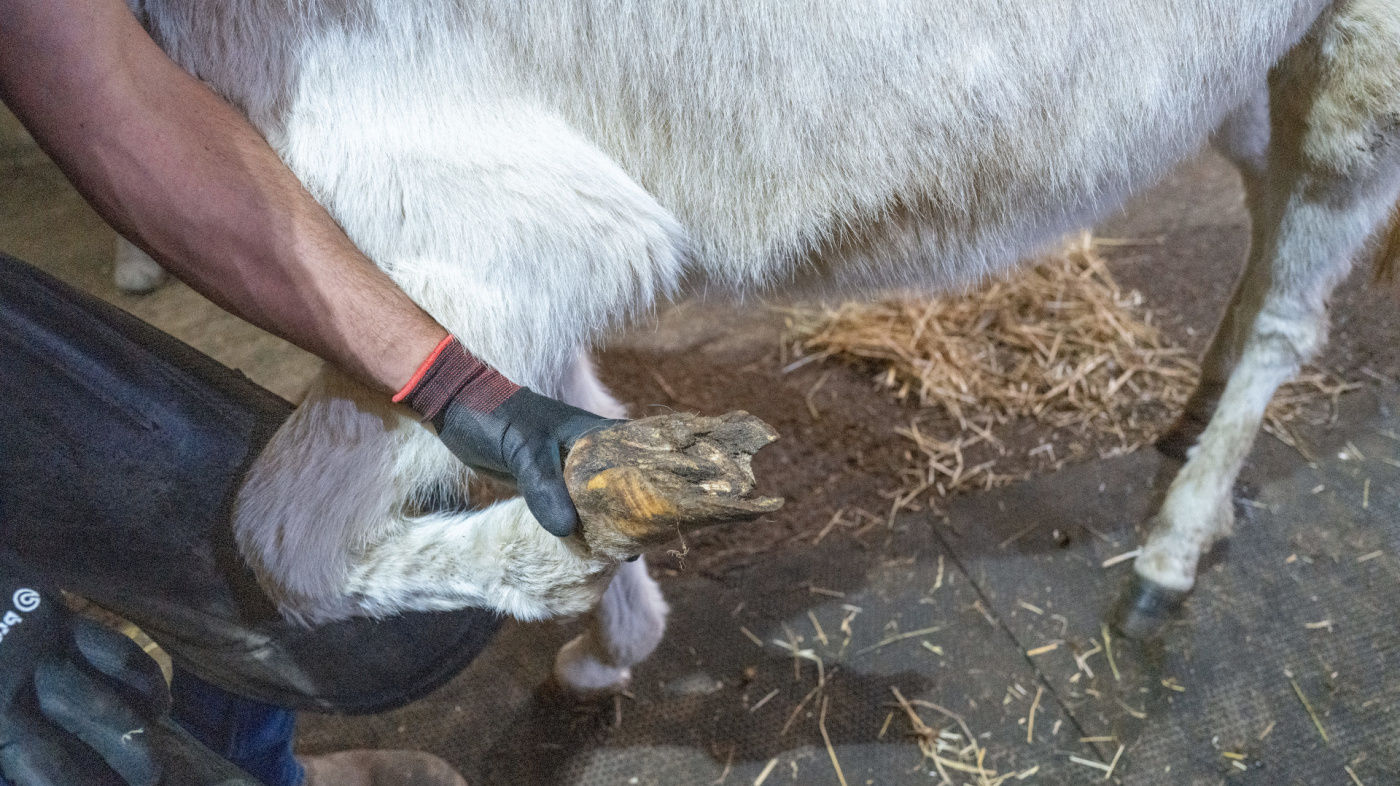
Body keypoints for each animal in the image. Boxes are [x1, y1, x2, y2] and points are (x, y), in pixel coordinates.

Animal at [123, 0, 1400, 686]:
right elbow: (575, 425)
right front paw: (615, 624)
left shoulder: (483, 239)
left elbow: (279, 540)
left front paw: (562, 574)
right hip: (1259, 62)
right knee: (1270, 206)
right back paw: (1191, 424)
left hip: (1365, 60)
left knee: (1298, 294)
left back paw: (1171, 551)